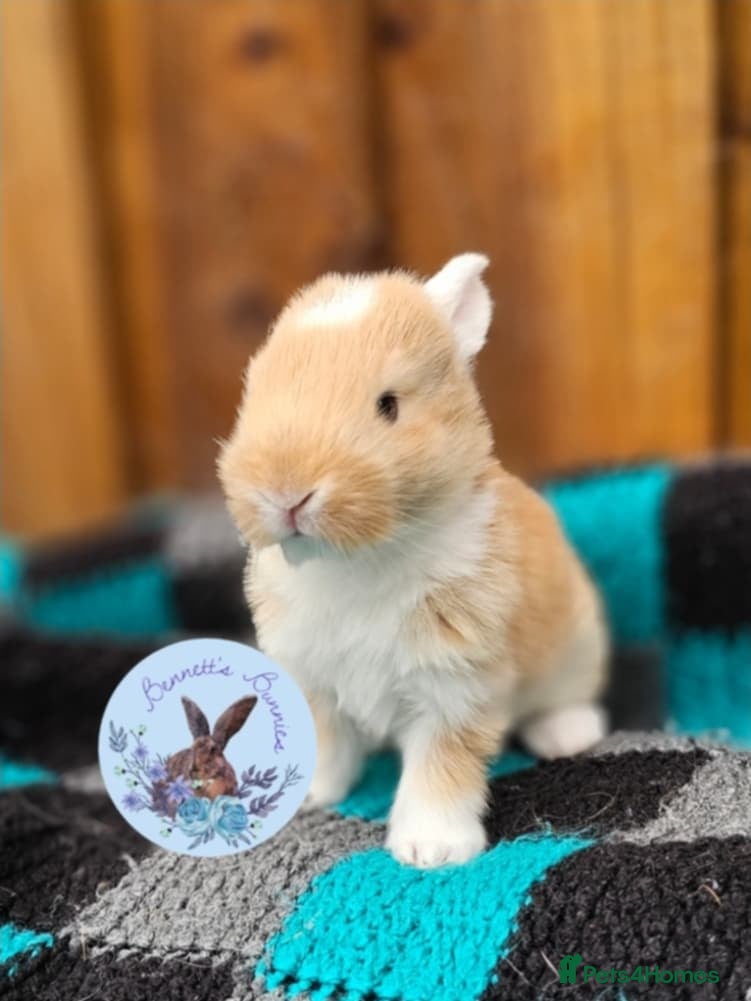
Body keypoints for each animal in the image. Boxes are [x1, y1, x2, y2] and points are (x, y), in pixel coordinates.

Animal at [218, 253, 609, 868]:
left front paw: (432, 849)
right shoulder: (315, 682)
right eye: (252, 395)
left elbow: (439, 768)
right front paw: (308, 795)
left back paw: (567, 734)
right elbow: (328, 745)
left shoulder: (455, 686)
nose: (286, 492)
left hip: (574, 649)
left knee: (567, 698)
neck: (359, 559)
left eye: (389, 405)